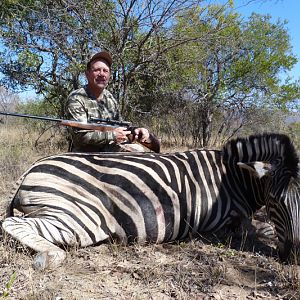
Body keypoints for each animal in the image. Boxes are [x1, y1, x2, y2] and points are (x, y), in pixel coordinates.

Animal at [0, 132, 300, 268]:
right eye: (275, 200)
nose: (295, 256)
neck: (233, 178)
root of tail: (33, 166)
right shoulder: (223, 223)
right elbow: (260, 228)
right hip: (82, 217)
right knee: (15, 225)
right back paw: (49, 257)